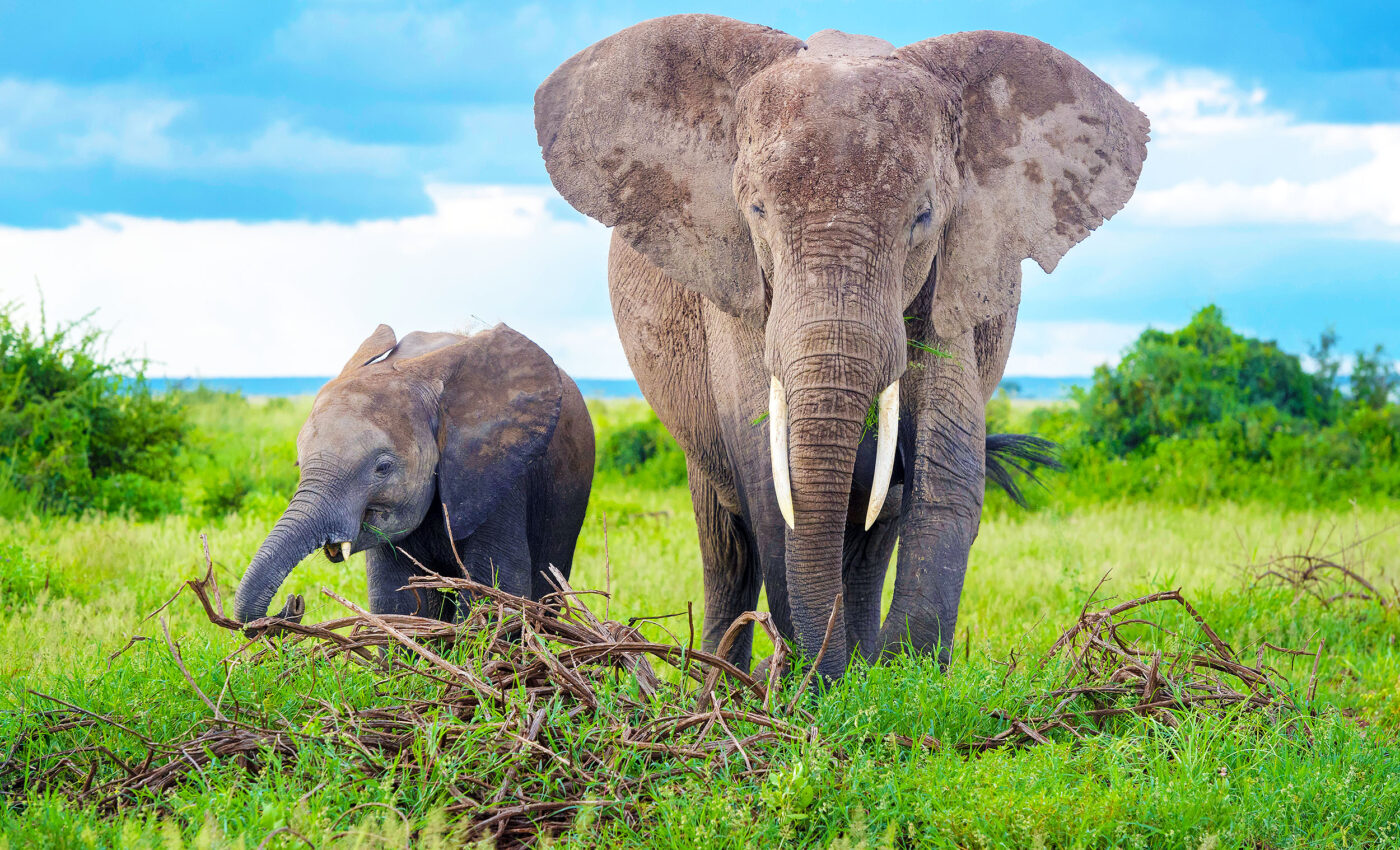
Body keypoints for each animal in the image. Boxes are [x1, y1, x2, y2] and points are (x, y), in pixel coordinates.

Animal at [233, 323, 595, 625]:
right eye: (299, 463)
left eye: (382, 468)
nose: (293, 603)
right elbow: (395, 597)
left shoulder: (494, 470)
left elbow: (497, 584)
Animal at [536, 15, 1147, 678]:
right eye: (757, 210)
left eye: (923, 217)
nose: (814, 673)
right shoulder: (734, 276)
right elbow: (765, 470)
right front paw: (823, 683)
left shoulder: (954, 273)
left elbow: (948, 461)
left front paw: (895, 680)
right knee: (727, 542)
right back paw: (730, 682)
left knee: (876, 528)